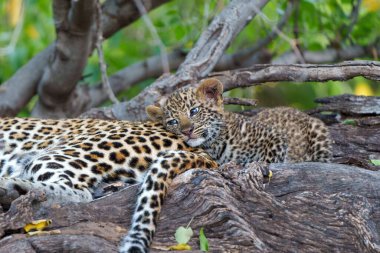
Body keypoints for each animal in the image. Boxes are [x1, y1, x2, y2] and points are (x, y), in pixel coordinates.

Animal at [145, 78, 332, 164]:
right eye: (173, 122)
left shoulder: (275, 137)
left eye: (194, 111)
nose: (186, 131)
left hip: (319, 132)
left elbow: (269, 159)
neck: (215, 143)